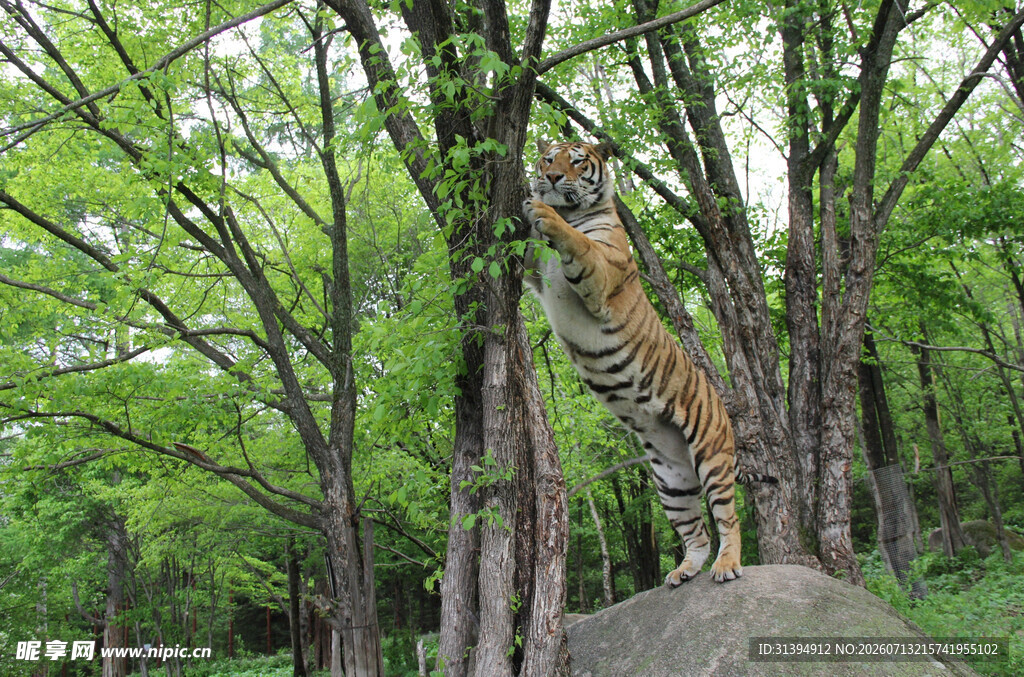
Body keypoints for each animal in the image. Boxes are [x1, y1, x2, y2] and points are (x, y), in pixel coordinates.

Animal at [522, 140, 750, 585]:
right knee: (696, 532)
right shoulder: (534, 272)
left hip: (712, 456)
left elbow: (576, 240)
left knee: (728, 519)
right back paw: (684, 571)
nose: (551, 178)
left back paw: (727, 565)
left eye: (576, 161)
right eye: (548, 158)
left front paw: (540, 208)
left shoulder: (601, 270)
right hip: (671, 481)